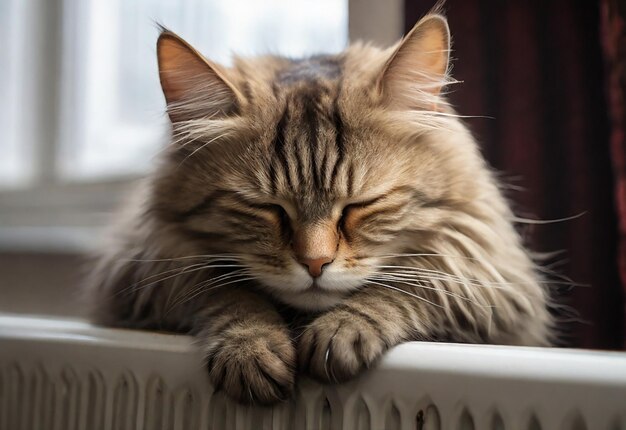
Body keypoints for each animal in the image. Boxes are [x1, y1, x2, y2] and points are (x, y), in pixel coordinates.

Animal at [86, 10, 552, 406]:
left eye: (361, 205)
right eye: (265, 208)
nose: (315, 263)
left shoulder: (489, 279)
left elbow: (408, 286)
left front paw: (342, 331)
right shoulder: (147, 273)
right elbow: (228, 293)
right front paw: (251, 348)